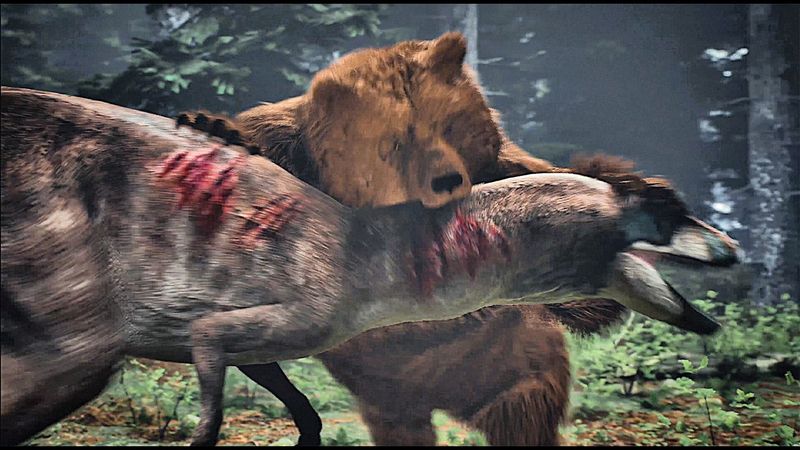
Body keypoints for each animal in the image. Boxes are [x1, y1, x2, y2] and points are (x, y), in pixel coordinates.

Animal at [177, 31, 636, 445]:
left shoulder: (513, 173)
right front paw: (213, 127)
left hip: (515, 362)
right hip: (397, 393)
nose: (448, 180)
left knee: (522, 409)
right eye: (396, 142)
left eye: (449, 125)